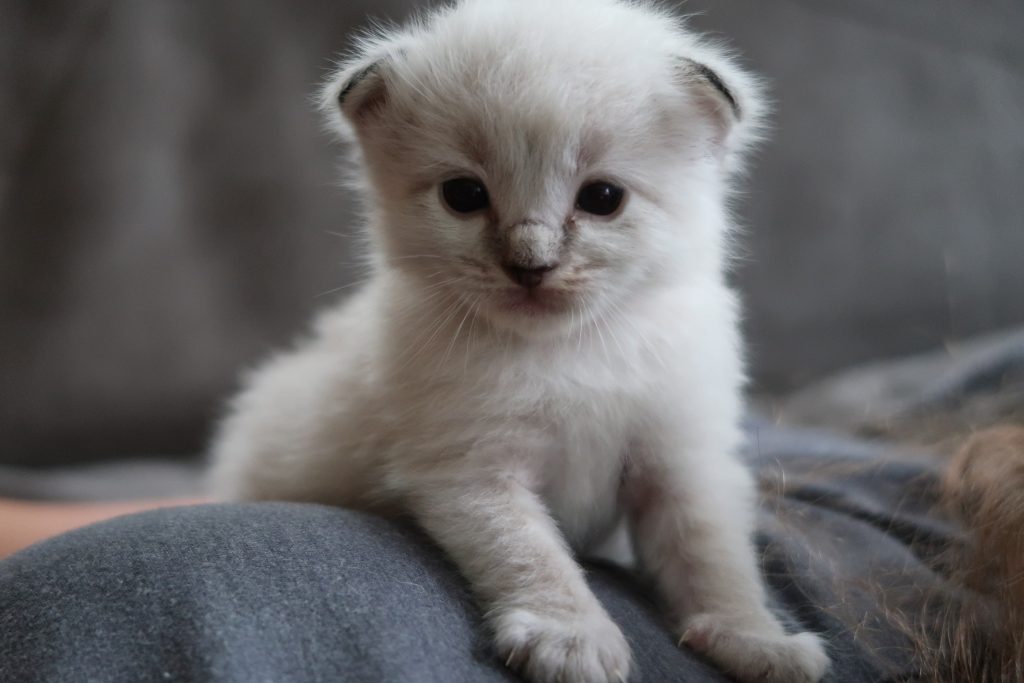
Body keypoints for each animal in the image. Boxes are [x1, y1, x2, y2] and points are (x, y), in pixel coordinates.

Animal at [207, 2, 831, 679]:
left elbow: (715, 558)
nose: (530, 266)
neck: (573, 349)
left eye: (603, 198)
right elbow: (531, 555)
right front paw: (571, 638)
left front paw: (756, 640)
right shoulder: (472, 472)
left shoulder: (681, 462)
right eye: (464, 195)